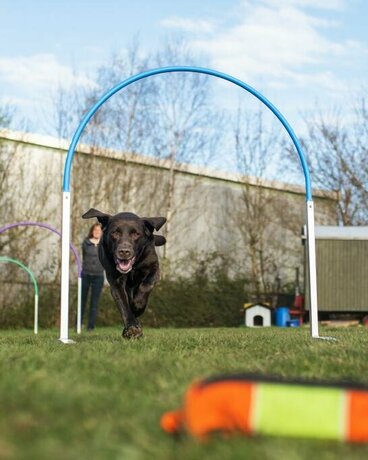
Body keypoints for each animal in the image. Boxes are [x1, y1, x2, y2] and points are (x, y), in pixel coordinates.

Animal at [83, 208, 167, 338]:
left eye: (136, 234)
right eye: (115, 233)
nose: (124, 251)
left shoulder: (154, 268)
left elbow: (146, 285)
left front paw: (138, 305)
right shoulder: (116, 282)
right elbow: (124, 305)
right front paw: (131, 327)